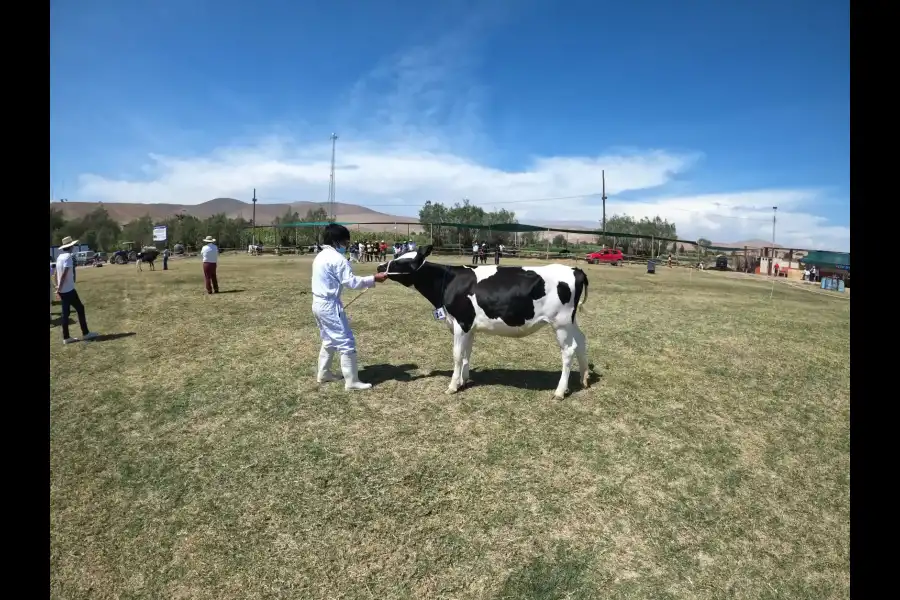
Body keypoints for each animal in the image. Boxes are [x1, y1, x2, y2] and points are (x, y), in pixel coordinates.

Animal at [378, 246, 596, 400]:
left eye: (402, 262)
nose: (380, 266)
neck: (447, 281)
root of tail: (575, 269)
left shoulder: (461, 322)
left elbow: (457, 355)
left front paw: (452, 386)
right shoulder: (470, 326)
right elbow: (467, 353)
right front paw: (463, 381)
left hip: (560, 323)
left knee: (568, 351)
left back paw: (560, 391)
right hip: (570, 321)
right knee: (582, 341)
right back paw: (584, 378)